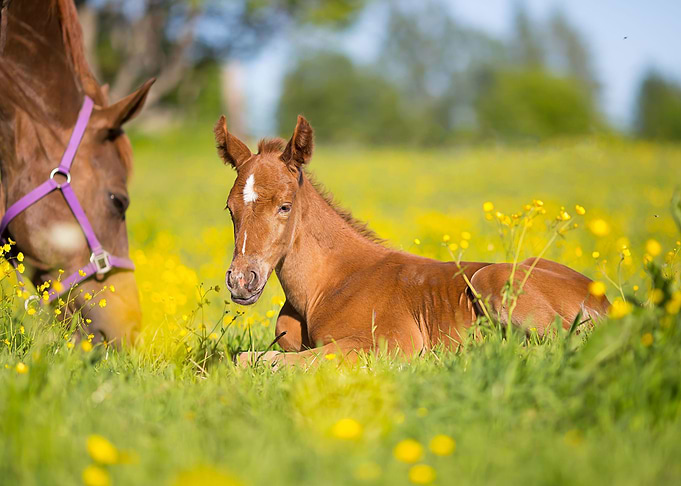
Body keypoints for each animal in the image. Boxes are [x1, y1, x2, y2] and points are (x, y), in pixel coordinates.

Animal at [214, 115, 610, 366]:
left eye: (285, 206)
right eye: (230, 209)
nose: (242, 280)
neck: (326, 284)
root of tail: (606, 300)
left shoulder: (390, 342)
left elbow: (264, 361)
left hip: (491, 279)